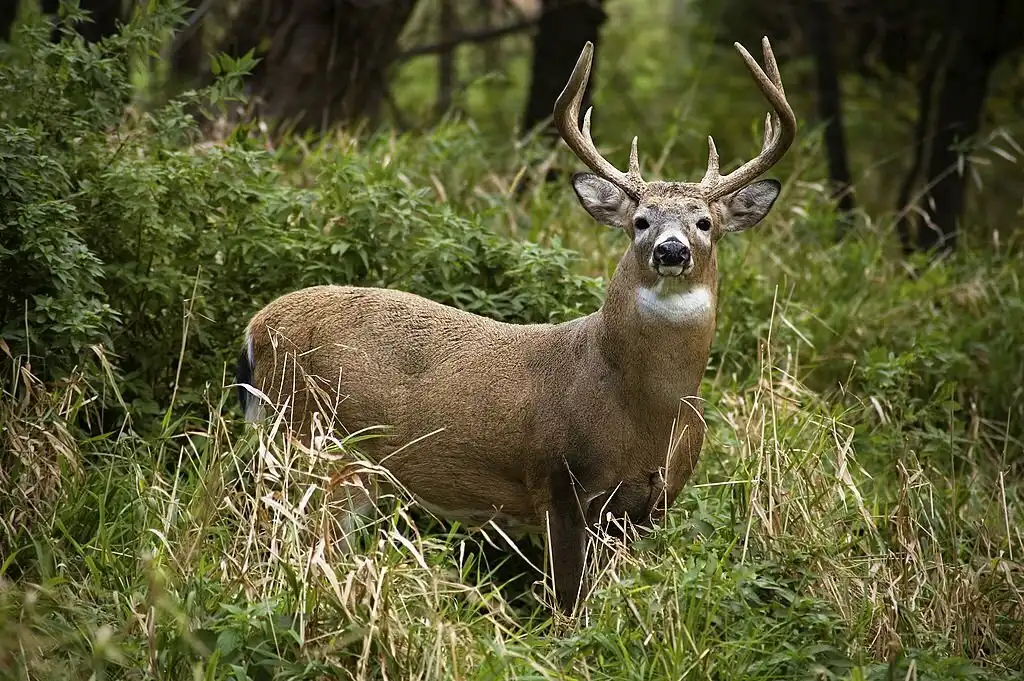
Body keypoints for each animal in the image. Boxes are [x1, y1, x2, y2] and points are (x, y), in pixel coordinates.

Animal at [235, 35, 794, 610]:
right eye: (640, 221)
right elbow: (569, 602)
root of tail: (256, 328)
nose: (671, 250)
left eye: (704, 222)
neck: (644, 409)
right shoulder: (557, 480)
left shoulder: (652, 503)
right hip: (307, 440)